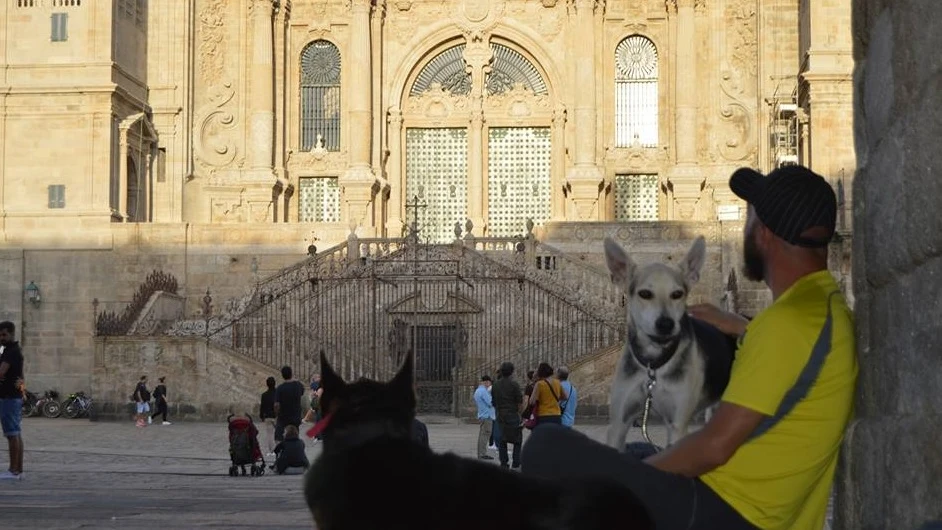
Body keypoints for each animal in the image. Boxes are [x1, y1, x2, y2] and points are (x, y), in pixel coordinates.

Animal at [604, 235, 736, 450]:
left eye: (677, 294)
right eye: (645, 294)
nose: (666, 324)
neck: (654, 363)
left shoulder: (677, 425)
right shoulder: (618, 423)